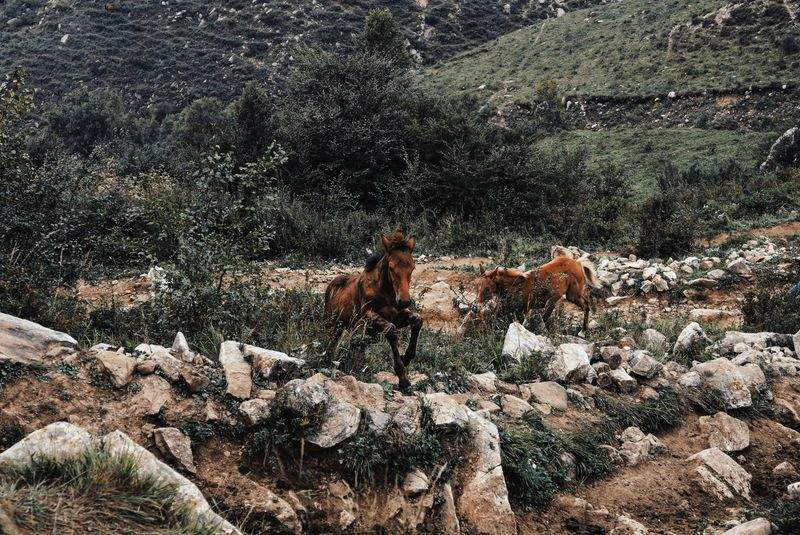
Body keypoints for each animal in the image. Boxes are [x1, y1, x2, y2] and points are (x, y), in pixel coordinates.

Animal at [324, 231, 422, 393]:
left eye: (413, 267)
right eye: (391, 267)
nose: (404, 301)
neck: (386, 293)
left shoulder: (397, 316)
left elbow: (417, 320)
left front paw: (407, 357)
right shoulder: (369, 317)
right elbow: (390, 330)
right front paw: (403, 379)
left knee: (357, 345)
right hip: (333, 324)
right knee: (331, 343)